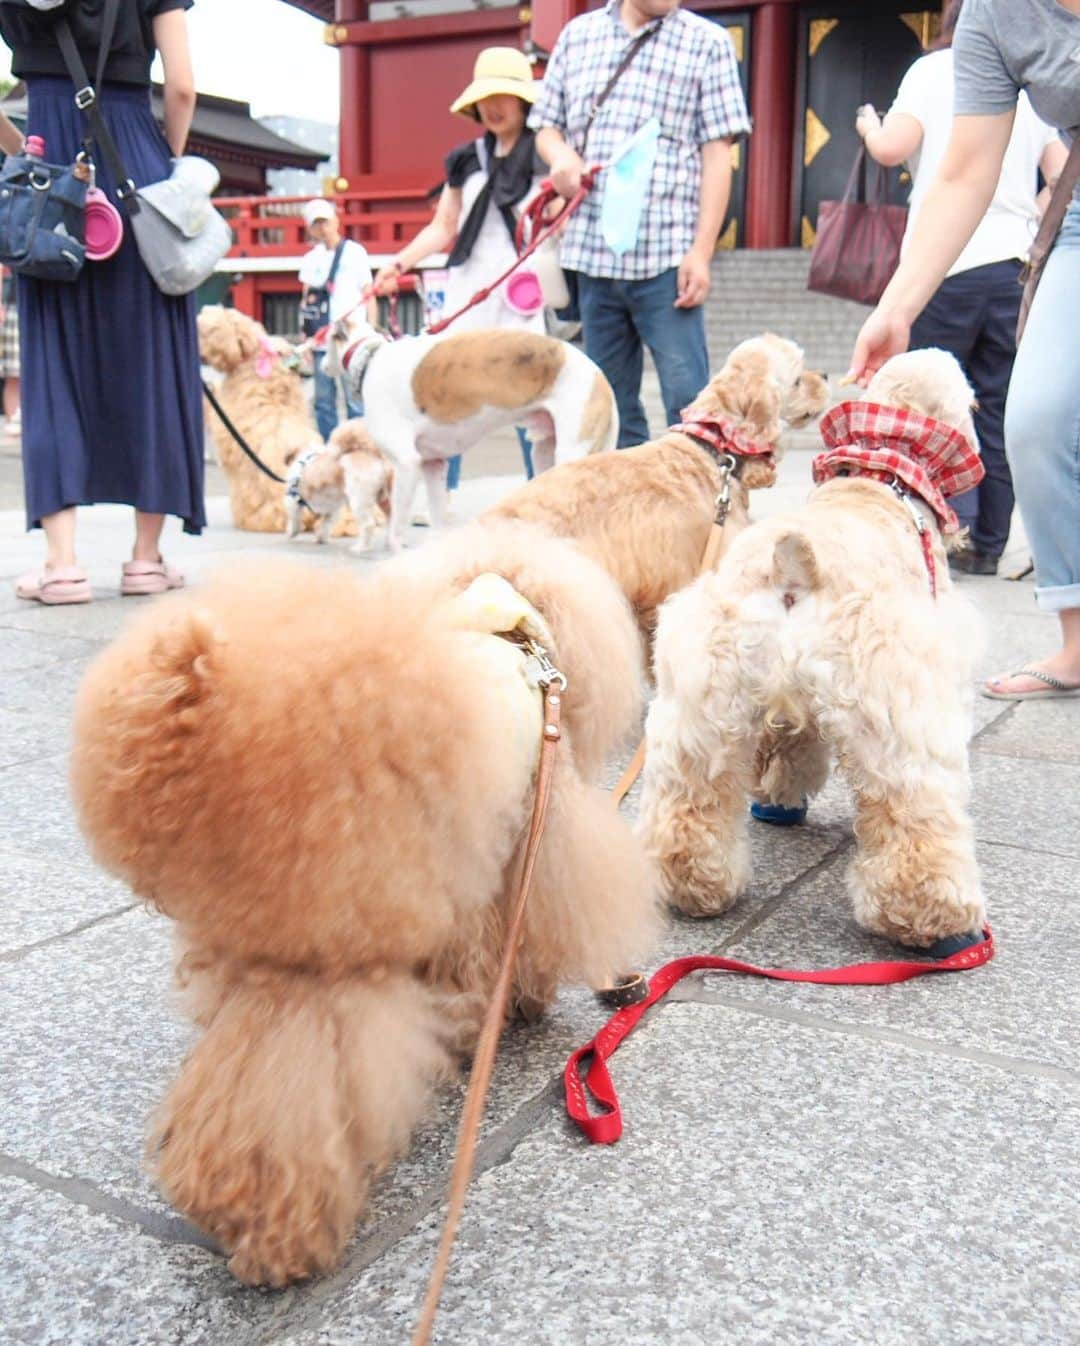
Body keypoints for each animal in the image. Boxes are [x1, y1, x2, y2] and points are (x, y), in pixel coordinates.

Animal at [324, 312, 614, 549]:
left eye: (325, 338)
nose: (321, 364)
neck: (369, 357)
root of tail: (599, 375)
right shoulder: (432, 464)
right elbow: (438, 521)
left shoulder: (406, 464)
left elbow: (396, 531)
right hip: (544, 454)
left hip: (569, 456)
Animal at [635, 352, 991, 952]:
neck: (881, 480)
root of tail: (793, 565)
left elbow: (790, 753)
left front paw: (780, 797)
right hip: (895, 722)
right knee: (914, 822)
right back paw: (937, 924)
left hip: (702, 712)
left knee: (690, 808)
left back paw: (695, 887)